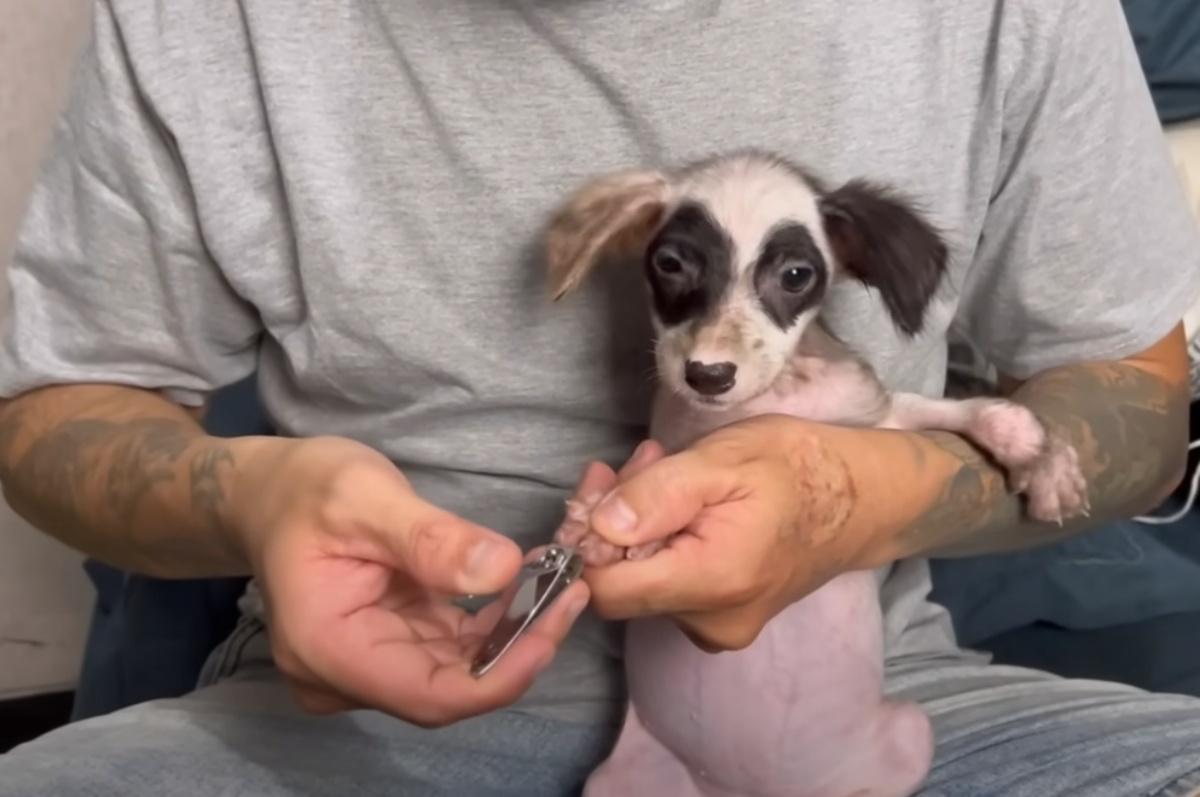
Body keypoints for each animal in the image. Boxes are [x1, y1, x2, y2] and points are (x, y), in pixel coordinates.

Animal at [549, 151, 1094, 797]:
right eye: (670, 263)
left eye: (795, 275)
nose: (708, 375)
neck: (775, 397)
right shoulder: (674, 444)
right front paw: (602, 532)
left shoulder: (879, 421)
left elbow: (974, 410)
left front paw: (1041, 456)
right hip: (616, 781)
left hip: (912, 735)